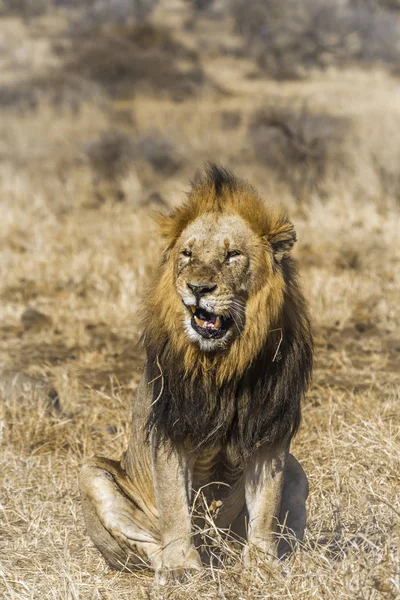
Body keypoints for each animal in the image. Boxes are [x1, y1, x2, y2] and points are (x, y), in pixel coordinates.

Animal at [79, 163, 314, 580]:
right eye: (187, 253)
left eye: (233, 254)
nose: (198, 288)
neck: (223, 363)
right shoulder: (169, 430)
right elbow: (174, 507)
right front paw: (180, 567)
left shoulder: (270, 436)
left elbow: (266, 508)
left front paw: (264, 565)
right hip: (91, 472)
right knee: (146, 546)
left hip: (297, 470)